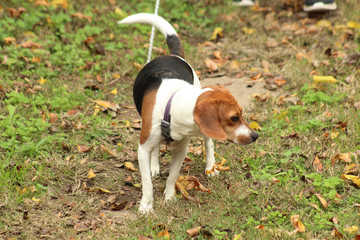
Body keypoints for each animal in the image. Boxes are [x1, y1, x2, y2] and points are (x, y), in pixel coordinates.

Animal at [119, 13, 258, 213]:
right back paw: (154, 166)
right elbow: (146, 183)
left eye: (241, 115)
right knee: (155, 150)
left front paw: (169, 197)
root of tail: (173, 55)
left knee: (209, 144)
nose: (255, 135)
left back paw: (210, 167)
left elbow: (172, 176)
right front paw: (146, 205)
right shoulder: (143, 148)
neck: (172, 106)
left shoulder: (181, 150)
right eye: (234, 118)